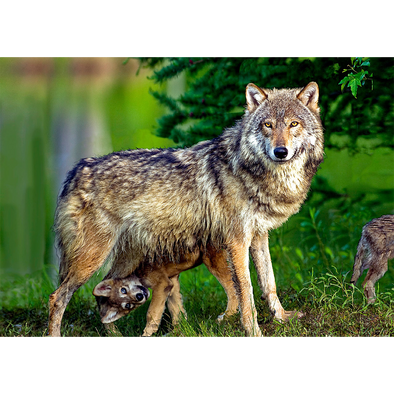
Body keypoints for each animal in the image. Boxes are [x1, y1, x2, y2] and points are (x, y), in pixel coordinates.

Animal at [93, 245, 237, 338]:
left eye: (123, 290)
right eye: (128, 305)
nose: (139, 296)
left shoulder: (162, 285)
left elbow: (152, 314)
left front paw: (146, 335)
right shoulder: (172, 283)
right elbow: (177, 311)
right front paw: (177, 332)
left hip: (214, 262)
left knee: (234, 291)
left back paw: (227, 317)